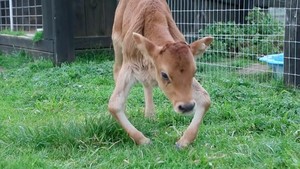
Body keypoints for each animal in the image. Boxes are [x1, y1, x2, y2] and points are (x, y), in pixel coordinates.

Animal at [109, 0, 212, 148]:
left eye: (194, 71)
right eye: (164, 74)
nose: (186, 106)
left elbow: (205, 97)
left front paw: (183, 141)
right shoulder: (129, 66)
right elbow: (114, 104)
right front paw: (143, 140)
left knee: (147, 85)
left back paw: (150, 115)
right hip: (117, 47)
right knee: (116, 71)